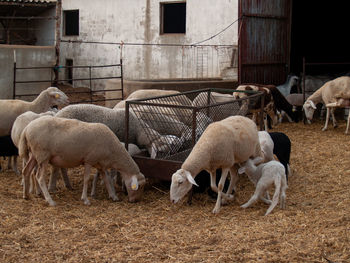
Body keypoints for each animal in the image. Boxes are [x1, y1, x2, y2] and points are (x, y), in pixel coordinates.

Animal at [18, 116, 146, 207]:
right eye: (139, 186)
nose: (135, 201)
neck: (113, 151)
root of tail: (26, 129)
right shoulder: (89, 160)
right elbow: (86, 179)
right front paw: (85, 199)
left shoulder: (100, 164)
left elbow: (106, 179)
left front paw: (113, 196)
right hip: (43, 155)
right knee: (39, 177)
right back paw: (50, 201)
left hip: (34, 155)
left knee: (26, 171)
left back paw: (25, 195)